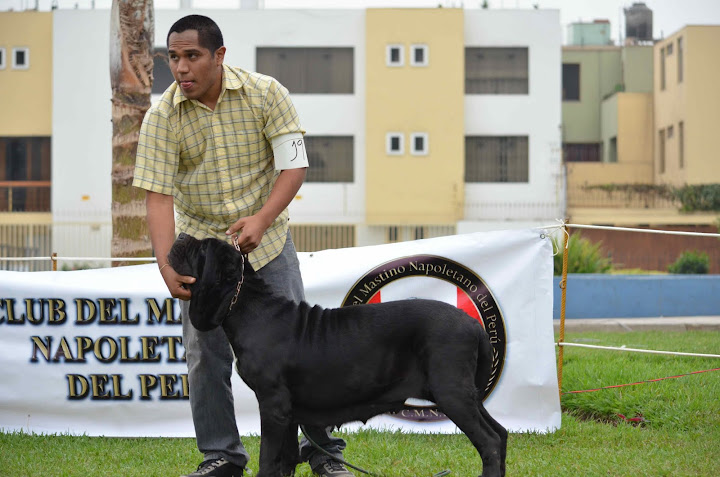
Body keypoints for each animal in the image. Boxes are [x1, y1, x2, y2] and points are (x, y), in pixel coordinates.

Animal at [168, 232, 506, 474]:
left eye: (202, 248)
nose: (181, 234)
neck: (248, 306)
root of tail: (473, 325)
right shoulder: (289, 412)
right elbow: (284, 461)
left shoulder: (273, 404)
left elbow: (267, 459)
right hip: (464, 395)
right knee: (500, 434)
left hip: (451, 392)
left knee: (489, 442)